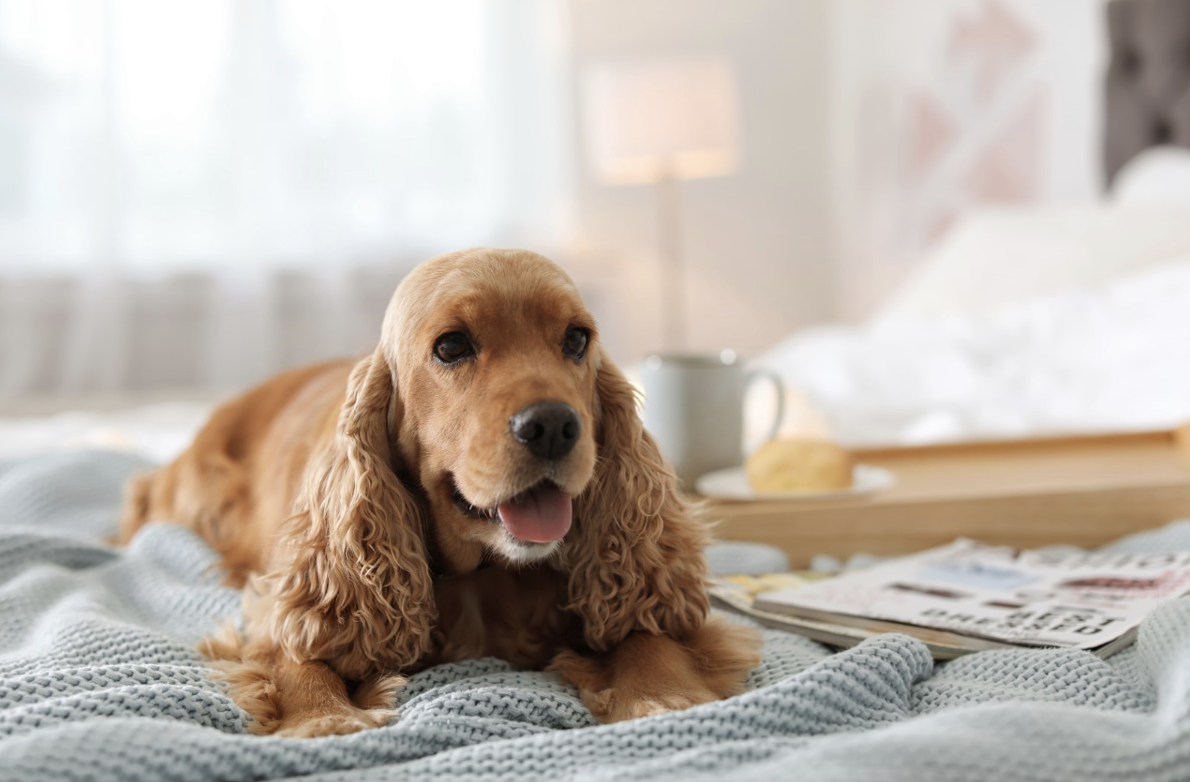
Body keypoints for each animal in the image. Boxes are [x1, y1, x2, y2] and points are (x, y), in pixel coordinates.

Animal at [116, 247, 756, 733]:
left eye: (577, 339)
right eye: (451, 346)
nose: (553, 425)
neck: (481, 577)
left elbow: (651, 634)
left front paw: (663, 694)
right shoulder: (285, 598)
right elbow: (296, 654)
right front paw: (322, 717)